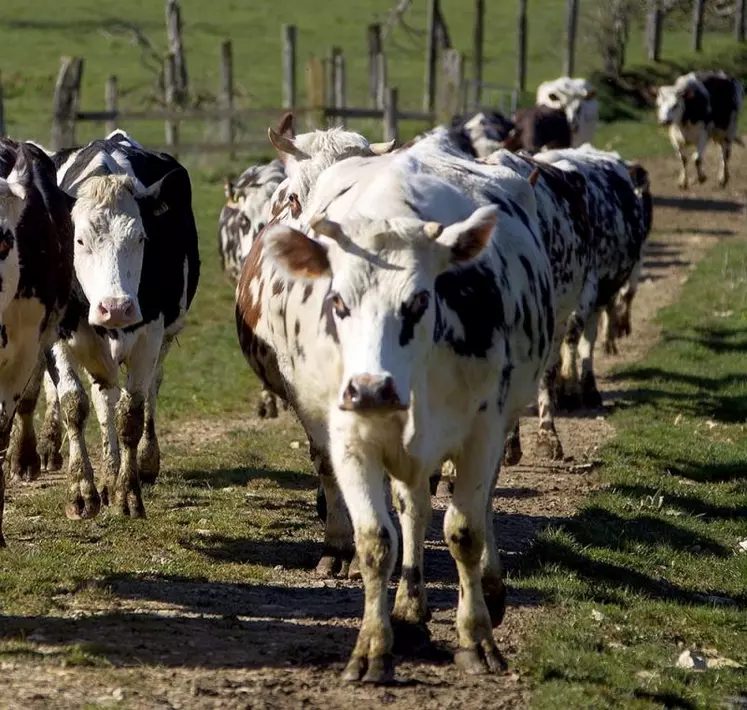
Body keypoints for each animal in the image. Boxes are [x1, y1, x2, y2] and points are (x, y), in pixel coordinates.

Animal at [17, 132, 200, 524]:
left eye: (141, 238)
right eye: (79, 240)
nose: (115, 307)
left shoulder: (150, 335)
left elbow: (131, 414)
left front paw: (127, 493)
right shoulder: (57, 337)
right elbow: (74, 404)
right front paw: (82, 491)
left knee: (148, 391)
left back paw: (142, 463)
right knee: (103, 399)